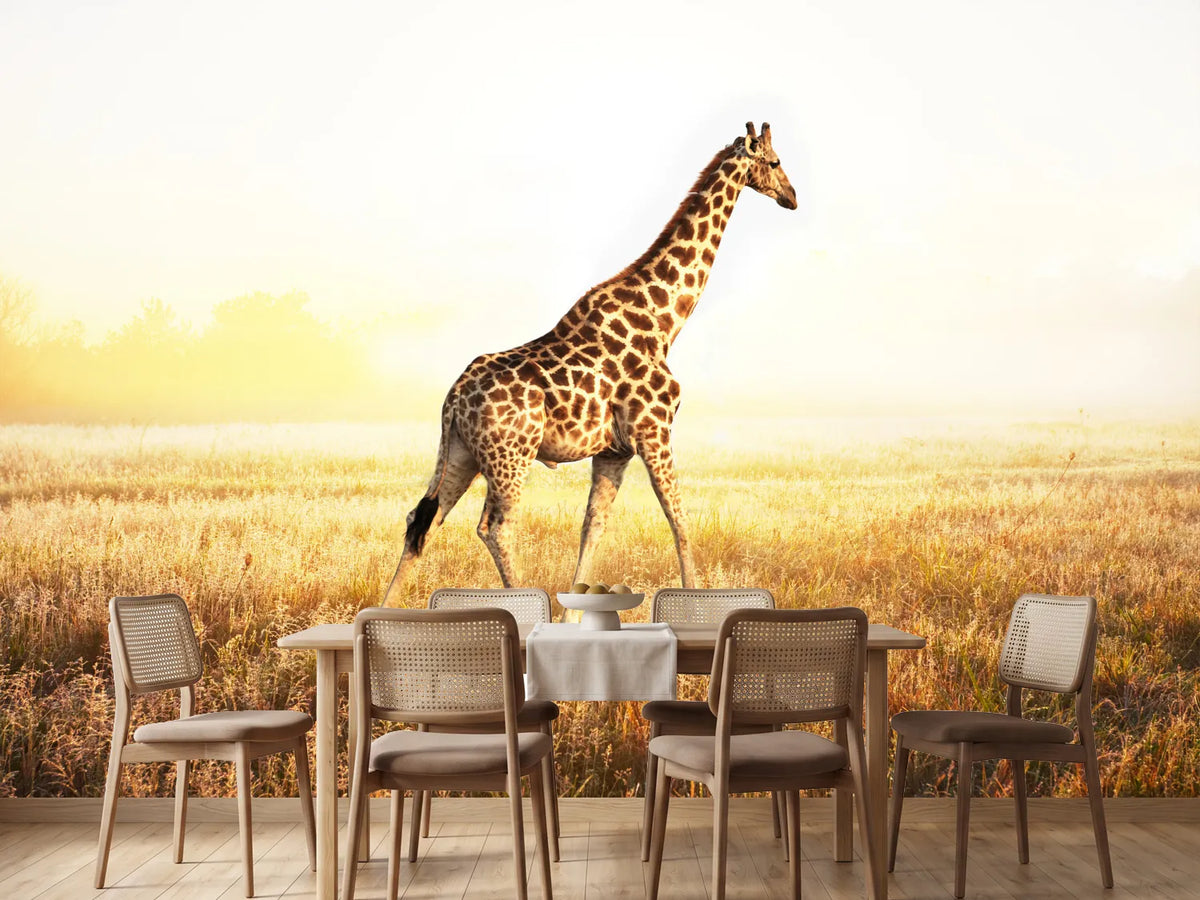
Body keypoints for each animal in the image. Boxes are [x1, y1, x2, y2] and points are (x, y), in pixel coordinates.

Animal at [383, 122, 796, 603]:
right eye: (775, 162)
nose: (792, 197)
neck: (665, 320)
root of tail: (452, 399)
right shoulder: (654, 432)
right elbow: (679, 520)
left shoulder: (614, 451)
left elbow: (592, 527)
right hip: (511, 456)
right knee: (495, 527)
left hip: (462, 453)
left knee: (422, 521)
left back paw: (388, 609)